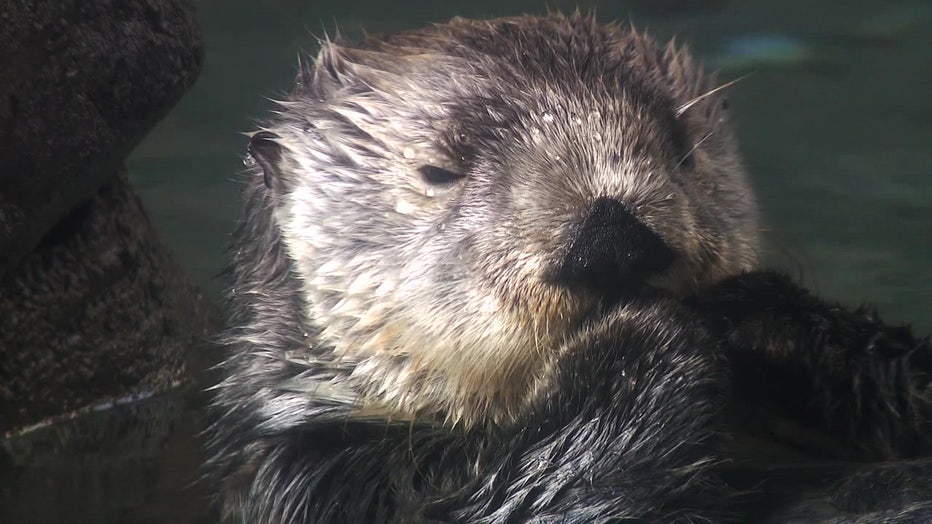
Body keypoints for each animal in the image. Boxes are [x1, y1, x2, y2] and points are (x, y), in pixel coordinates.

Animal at [207, 13, 932, 522]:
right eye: (438, 170)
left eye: (684, 147)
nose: (613, 243)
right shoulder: (309, 481)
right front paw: (642, 342)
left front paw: (761, 317)